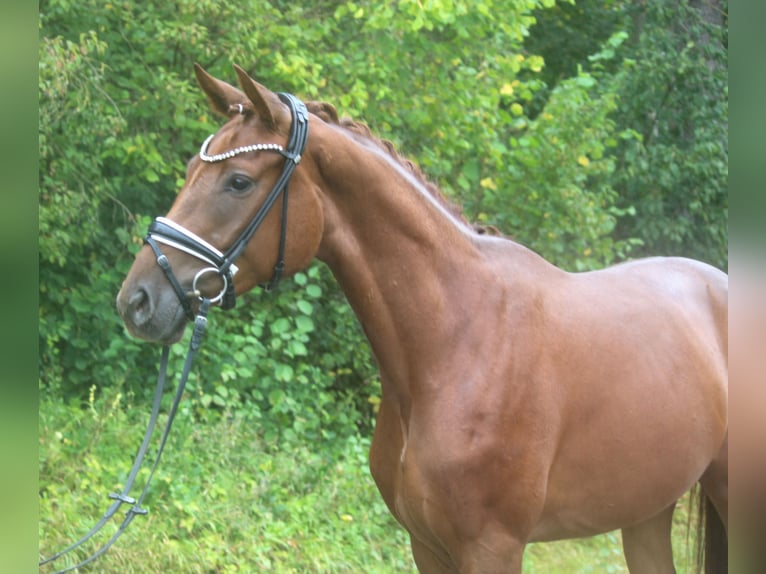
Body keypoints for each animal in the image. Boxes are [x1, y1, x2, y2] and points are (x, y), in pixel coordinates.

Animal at [117, 65, 728, 572]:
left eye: (238, 181)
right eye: (190, 169)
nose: (137, 301)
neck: (458, 342)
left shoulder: (493, 548)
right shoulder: (426, 544)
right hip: (647, 509)